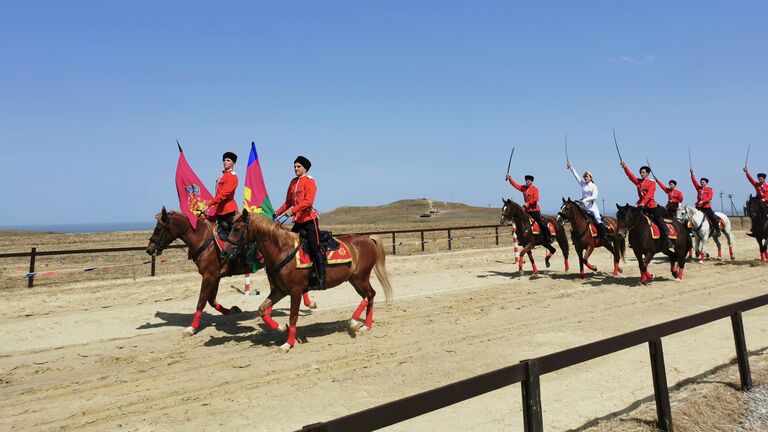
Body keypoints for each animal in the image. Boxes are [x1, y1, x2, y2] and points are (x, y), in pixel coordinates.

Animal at [144, 208, 316, 336]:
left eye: (158, 228)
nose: (149, 249)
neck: (203, 239)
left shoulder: (209, 276)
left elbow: (201, 301)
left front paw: (192, 328)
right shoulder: (215, 277)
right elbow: (211, 300)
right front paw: (232, 310)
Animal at [220, 208, 390, 352]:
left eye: (237, 229)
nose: (224, 253)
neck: (282, 250)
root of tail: (368, 238)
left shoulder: (295, 291)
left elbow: (293, 316)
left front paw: (288, 343)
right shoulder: (279, 291)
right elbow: (262, 309)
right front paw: (282, 327)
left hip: (361, 277)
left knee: (370, 295)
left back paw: (355, 322)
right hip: (355, 280)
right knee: (369, 296)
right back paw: (364, 325)